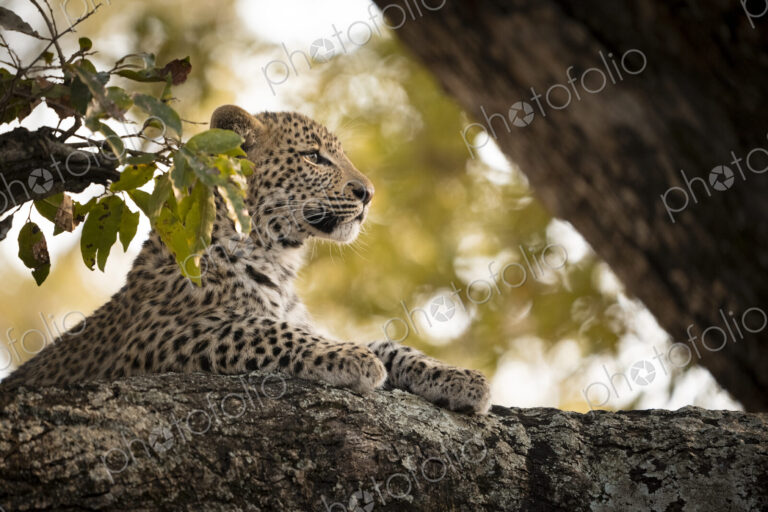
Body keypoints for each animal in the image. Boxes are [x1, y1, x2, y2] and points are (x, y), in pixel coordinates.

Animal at [1, 105, 491, 414]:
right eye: (314, 157)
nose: (367, 193)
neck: (280, 259)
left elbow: (390, 345)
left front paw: (460, 378)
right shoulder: (160, 335)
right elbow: (265, 329)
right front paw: (352, 358)